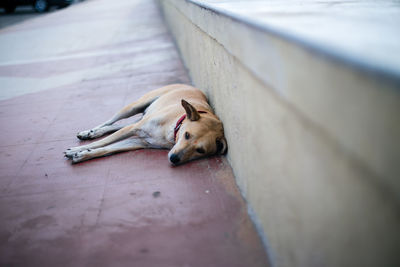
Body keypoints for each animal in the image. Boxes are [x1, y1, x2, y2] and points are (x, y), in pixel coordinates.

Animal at [65, 85, 228, 166]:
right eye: (187, 135)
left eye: (200, 150)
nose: (174, 158)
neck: (171, 131)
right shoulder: (134, 129)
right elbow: (103, 143)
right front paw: (75, 150)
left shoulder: (138, 141)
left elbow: (107, 148)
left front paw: (84, 154)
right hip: (133, 107)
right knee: (110, 121)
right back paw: (89, 132)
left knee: (115, 127)